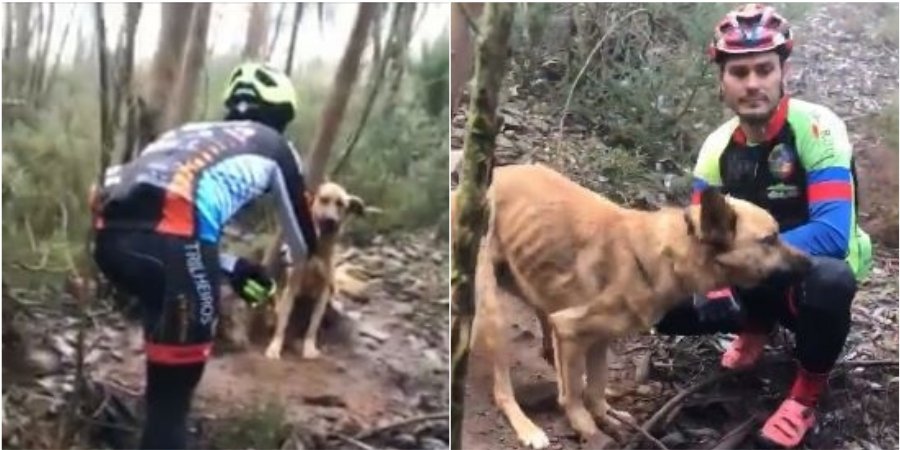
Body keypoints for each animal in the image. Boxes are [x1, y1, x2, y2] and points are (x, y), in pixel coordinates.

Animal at [264, 181, 370, 360]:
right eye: (324, 200)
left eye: (341, 204)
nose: (331, 221)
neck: (318, 249)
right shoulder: (291, 287)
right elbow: (283, 323)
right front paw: (274, 347)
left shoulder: (323, 292)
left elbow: (313, 325)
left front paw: (309, 348)